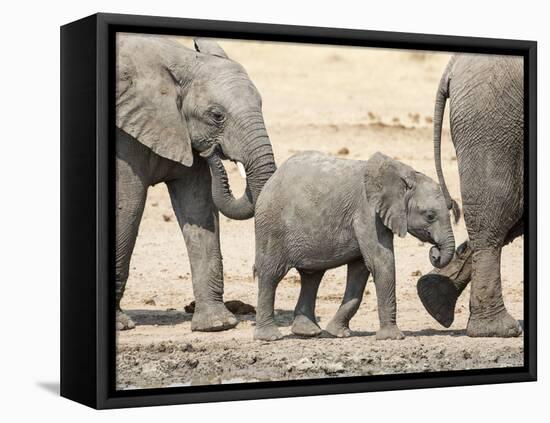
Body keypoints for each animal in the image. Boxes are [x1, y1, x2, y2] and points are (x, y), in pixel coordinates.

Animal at [115, 34, 276, 332]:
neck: (183, 61)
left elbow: (199, 205)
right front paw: (121, 325)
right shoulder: (125, 135)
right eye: (216, 116)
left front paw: (216, 325)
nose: (212, 151)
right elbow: (128, 205)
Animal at [253, 151, 458, 342]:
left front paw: (338, 333)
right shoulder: (367, 212)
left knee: (312, 276)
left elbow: (360, 270)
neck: (405, 175)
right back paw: (270, 337)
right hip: (271, 225)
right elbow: (380, 262)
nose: (435, 253)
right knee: (271, 274)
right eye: (430, 215)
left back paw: (308, 332)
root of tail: (272, 179)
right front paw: (393, 337)